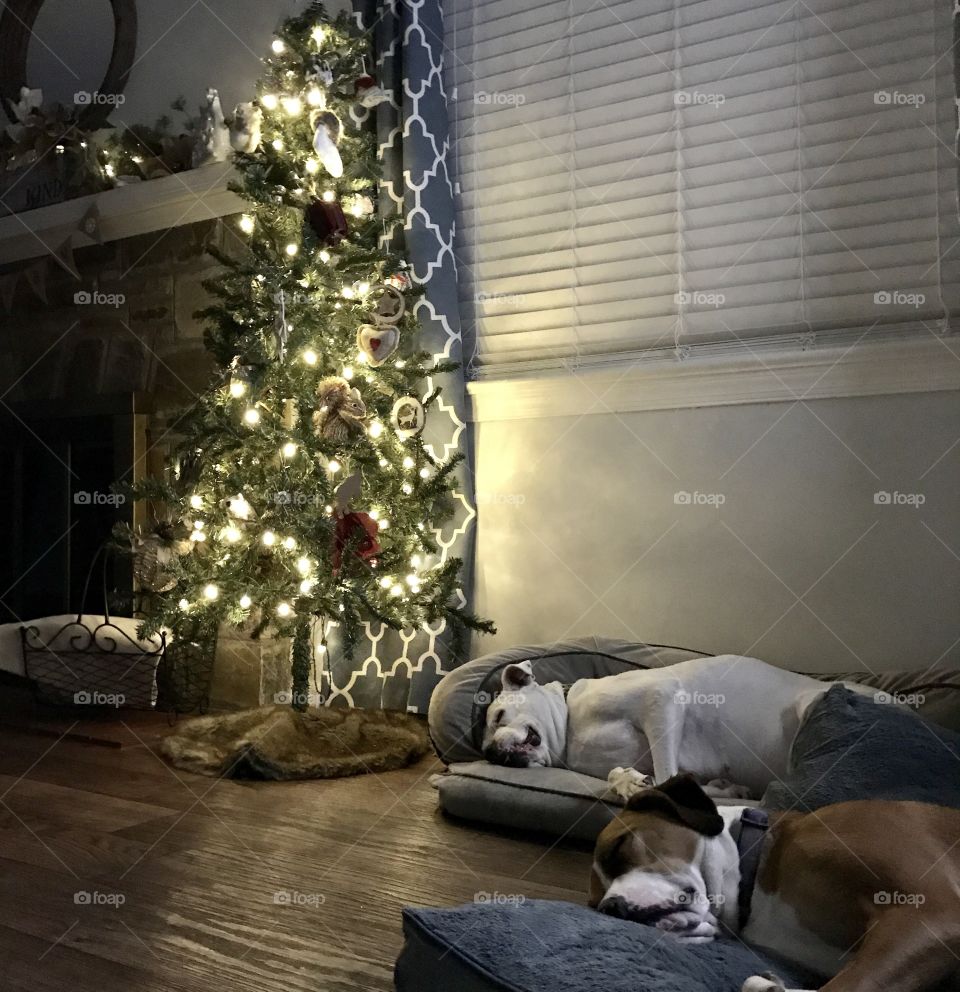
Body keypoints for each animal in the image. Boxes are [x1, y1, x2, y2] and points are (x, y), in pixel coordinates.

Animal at [484, 656, 852, 804]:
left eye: (498, 715)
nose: (488, 753)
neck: (570, 727)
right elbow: (625, 774)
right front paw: (628, 781)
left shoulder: (660, 700)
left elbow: (665, 780)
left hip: (809, 706)